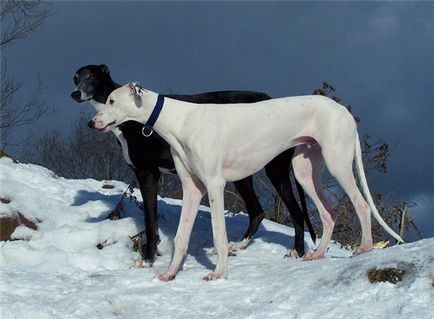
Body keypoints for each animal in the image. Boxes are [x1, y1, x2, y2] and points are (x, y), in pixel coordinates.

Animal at [72, 64, 316, 264]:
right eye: (76, 78)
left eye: (91, 77)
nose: (75, 93)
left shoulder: (147, 173)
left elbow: (150, 221)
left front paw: (148, 258)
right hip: (242, 173)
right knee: (257, 212)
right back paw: (240, 245)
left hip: (275, 169)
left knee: (297, 213)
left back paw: (297, 251)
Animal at [88, 83, 404, 282]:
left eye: (112, 100)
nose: (92, 123)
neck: (180, 119)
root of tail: (344, 112)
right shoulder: (192, 188)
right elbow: (180, 237)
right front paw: (170, 273)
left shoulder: (214, 185)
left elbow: (219, 235)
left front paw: (218, 274)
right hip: (304, 171)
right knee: (329, 213)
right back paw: (317, 254)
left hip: (336, 163)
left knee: (361, 204)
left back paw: (364, 247)